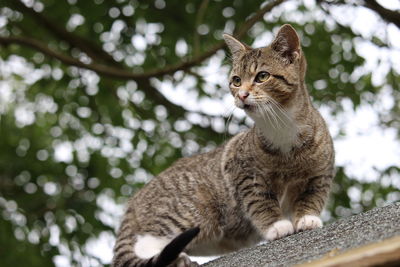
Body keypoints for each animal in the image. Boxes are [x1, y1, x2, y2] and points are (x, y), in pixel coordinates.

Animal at [111, 24, 334, 267]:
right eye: (236, 80)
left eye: (262, 76)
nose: (242, 94)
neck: (282, 128)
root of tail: (134, 201)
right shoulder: (243, 171)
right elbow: (259, 201)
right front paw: (277, 225)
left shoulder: (321, 173)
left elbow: (313, 195)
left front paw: (308, 218)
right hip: (190, 211)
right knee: (144, 242)